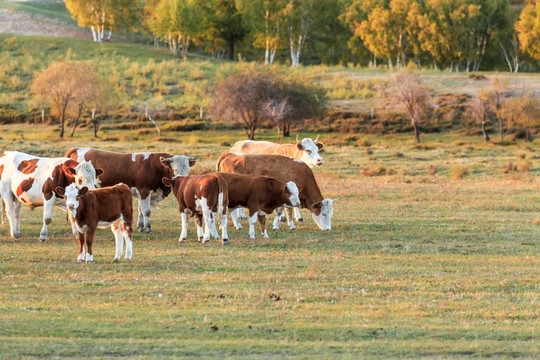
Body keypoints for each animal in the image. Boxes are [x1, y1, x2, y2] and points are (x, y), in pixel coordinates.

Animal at [64, 147, 197, 233]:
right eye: (175, 170)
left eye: (188, 169)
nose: (183, 181)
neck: (155, 167)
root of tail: (76, 149)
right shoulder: (144, 191)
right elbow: (146, 211)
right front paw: (148, 228)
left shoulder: (141, 192)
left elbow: (140, 210)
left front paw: (141, 226)